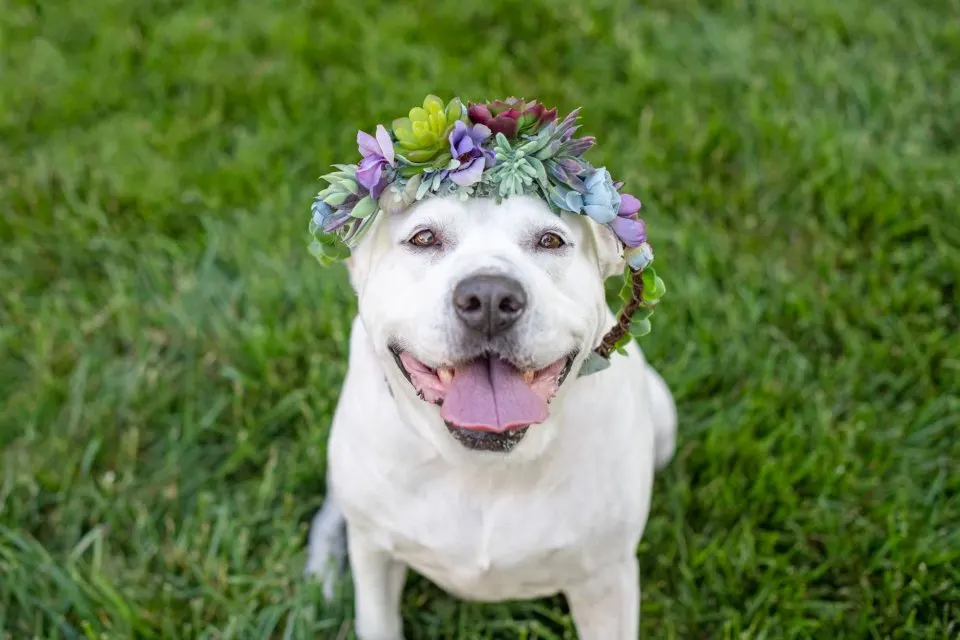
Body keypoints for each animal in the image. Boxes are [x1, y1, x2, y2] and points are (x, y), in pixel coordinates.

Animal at [306, 192, 676, 636]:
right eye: (424, 237)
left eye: (550, 240)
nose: (488, 299)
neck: (483, 466)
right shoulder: (375, 554)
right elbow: (378, 621)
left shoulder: (607, 578)